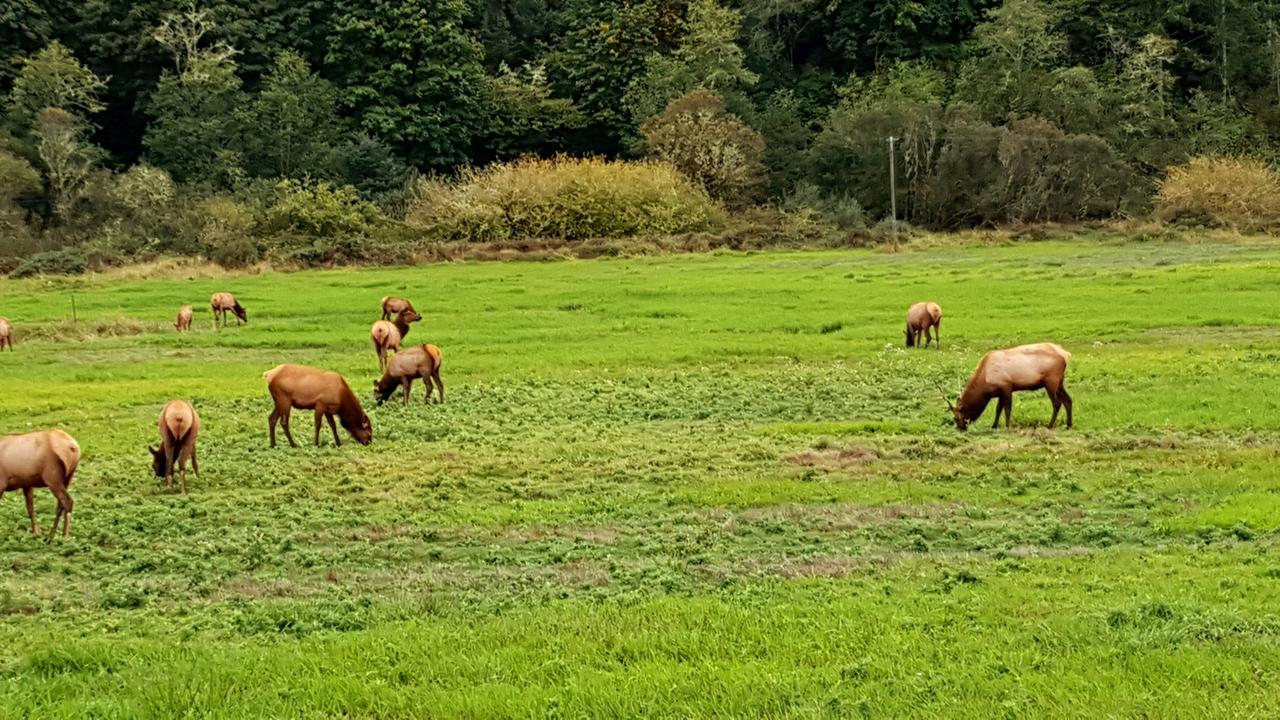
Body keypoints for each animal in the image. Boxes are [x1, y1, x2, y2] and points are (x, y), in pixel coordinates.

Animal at [947, 340, 1075, 427]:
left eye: (956, 418)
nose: (960, 429)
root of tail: (1066, 354)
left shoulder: (1006, 386)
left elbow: (1007, 409)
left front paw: (1008, 426)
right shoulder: (1000, 392)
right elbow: (998, 409)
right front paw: (994, 425)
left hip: (1051, 381)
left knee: (1057, 403)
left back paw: (1050, 425)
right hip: (1060, 382)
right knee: (1068, 400)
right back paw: (1069, 424)